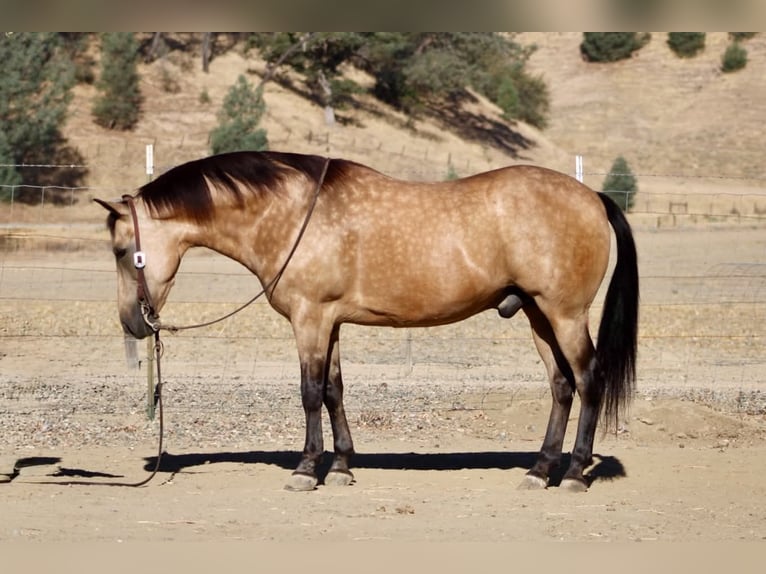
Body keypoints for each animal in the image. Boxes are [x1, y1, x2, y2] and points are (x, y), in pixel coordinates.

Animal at [96, 150, 638, 492]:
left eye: (122, 251)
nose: (133, 323)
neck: (292, 214)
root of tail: (592, 197)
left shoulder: (309, 319)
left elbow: (309, 392)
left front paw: (305, 469)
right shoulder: (329, 322)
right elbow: (334, 391)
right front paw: (340, 466)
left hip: (564, 315)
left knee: (588, 381)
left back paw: (573, 474)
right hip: (537, 315)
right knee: (561, 386)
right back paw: (540, 469)